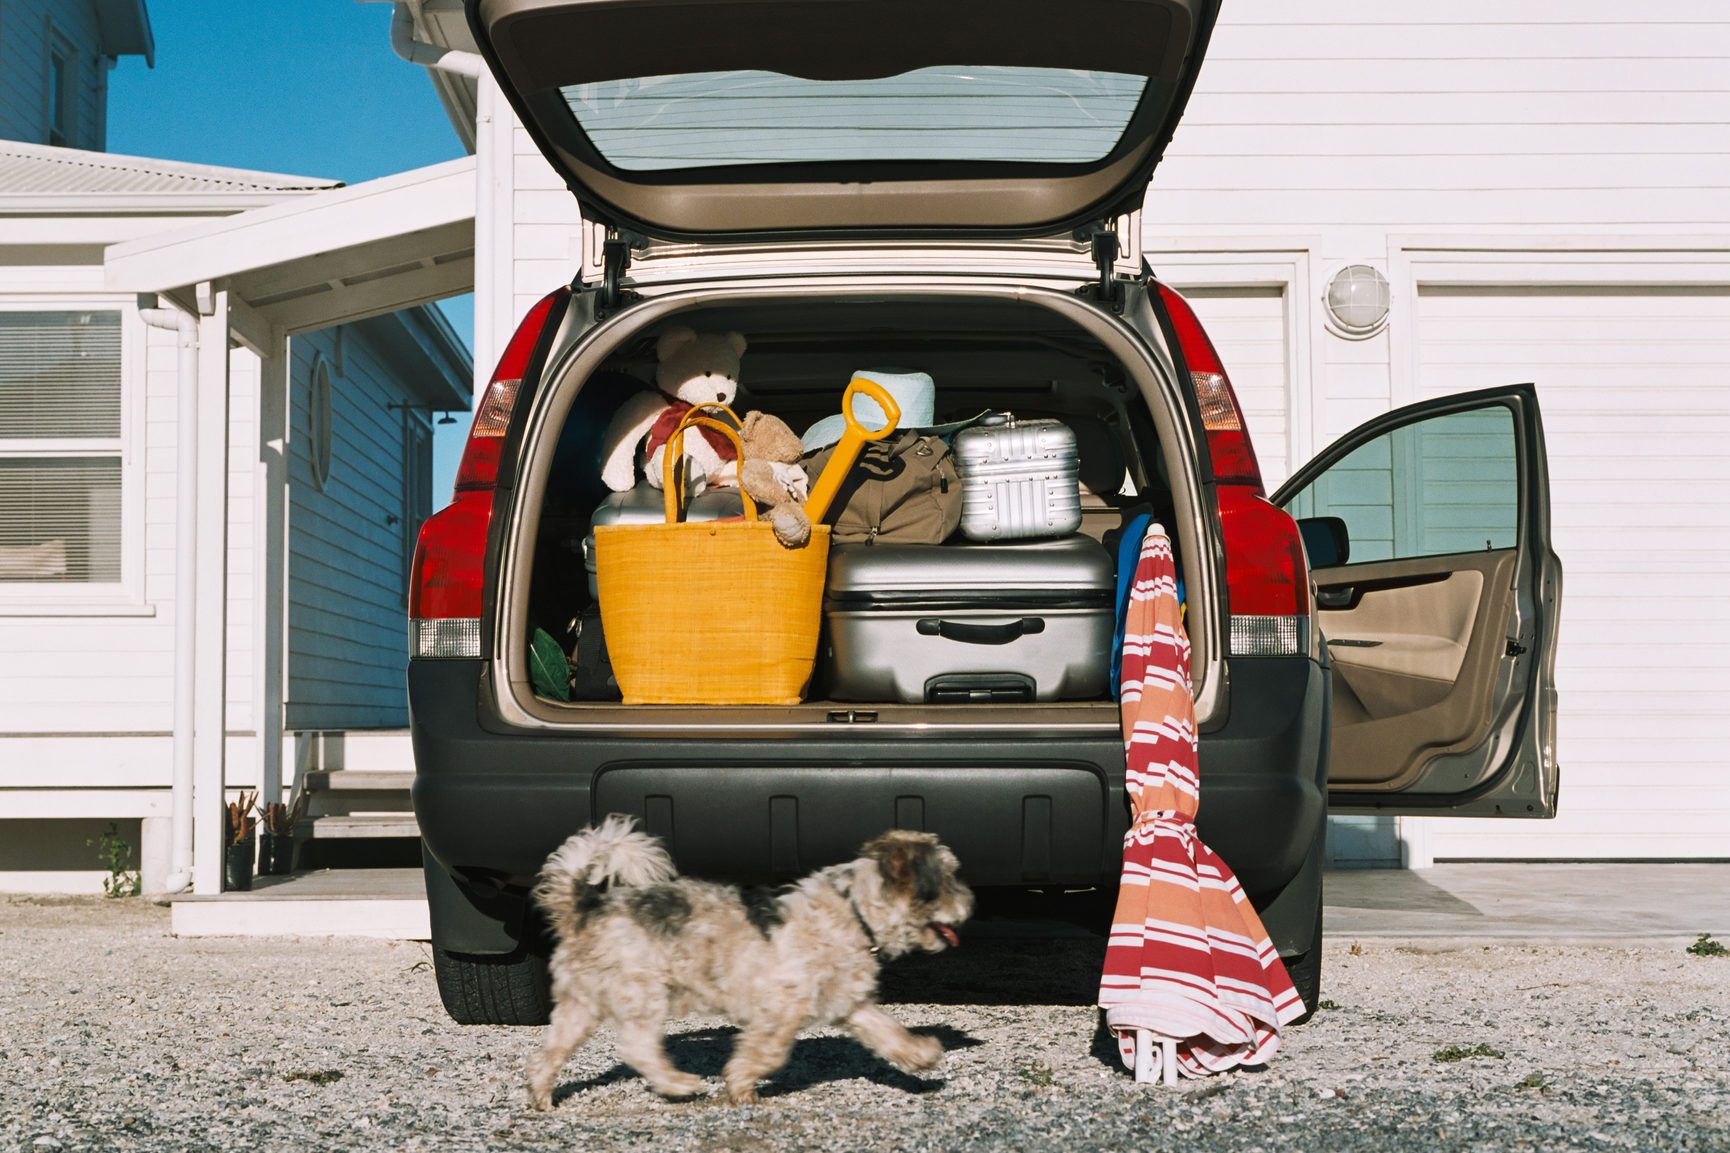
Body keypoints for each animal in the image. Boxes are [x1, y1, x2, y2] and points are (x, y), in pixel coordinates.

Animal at [525, 813, 975, 1101]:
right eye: (948, 879)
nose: (971, 902)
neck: (853, 909)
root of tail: (584, 906)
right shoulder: (781, 1009)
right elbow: (769, 1053)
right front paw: (740, 1085)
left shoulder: (851, 1002)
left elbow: (888, 1031)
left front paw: (920, 1054)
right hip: (643, 992)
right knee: (636, 1047)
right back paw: (679, 1084)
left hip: (579, 1004)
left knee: (549, 1052)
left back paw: (541, 1096)